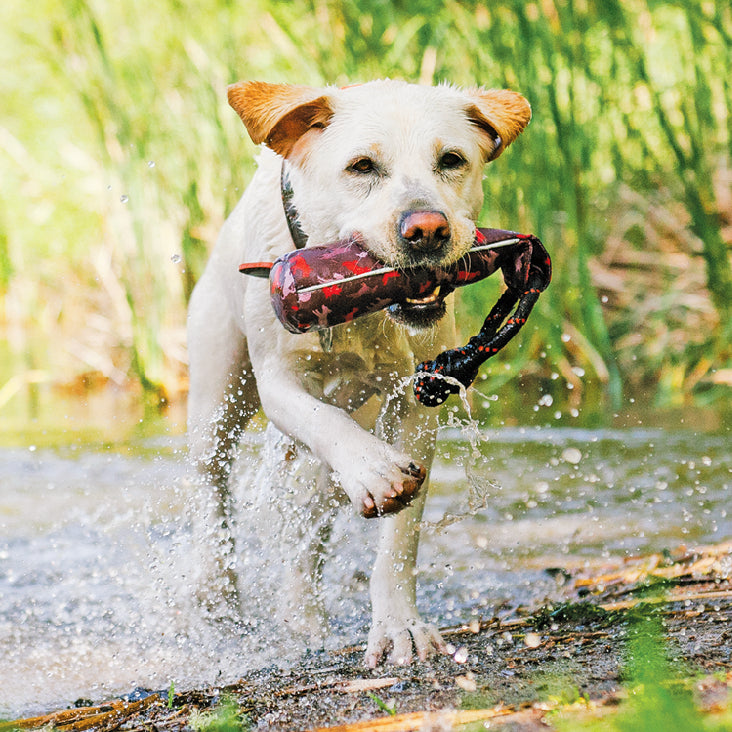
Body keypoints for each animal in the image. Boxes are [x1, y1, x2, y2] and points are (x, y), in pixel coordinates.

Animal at [187, 81, 532, 668]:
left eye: (451, 160)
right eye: (362, 166)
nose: (427, 229)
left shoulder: (419, 398)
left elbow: (400, 539)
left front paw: (400, 627)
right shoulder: (278, 381)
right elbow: (321, 420)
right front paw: (374, 471)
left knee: (307, 528)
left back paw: (300, 617)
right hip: (216, 396)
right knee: (213, 481)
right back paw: (215, 590)